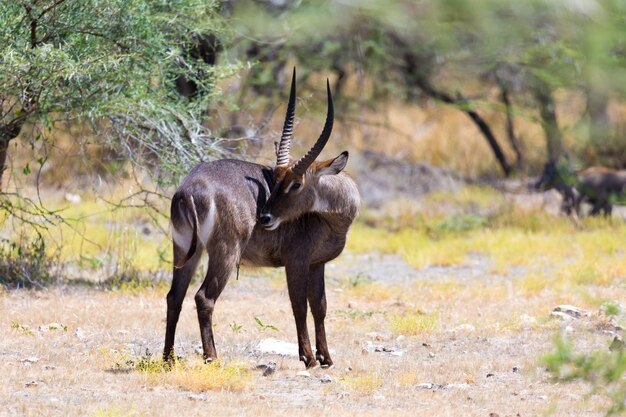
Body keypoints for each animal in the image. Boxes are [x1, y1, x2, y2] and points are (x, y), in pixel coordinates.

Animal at [163, 70, 358, 368]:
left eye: (294, 183)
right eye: (277, 180)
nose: (265, 217)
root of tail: (189, 189)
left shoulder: (318, 263)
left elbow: (320, 306)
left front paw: (326, 357)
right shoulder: (297, 261)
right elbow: (299, 305)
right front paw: (309, 358)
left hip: (186, 250)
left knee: (175, 296)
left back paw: (168, 359)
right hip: (225, 252)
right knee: (203, 297)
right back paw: (212, 357)